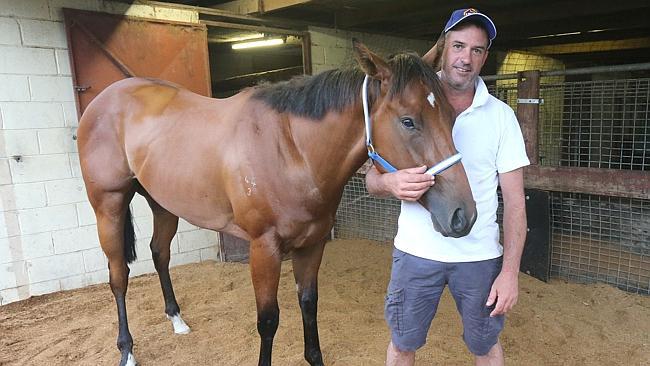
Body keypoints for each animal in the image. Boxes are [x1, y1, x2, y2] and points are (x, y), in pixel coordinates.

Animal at [78, 40, 476, 366]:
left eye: (450, 115)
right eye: (408, 121)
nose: (464, 216)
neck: (291, 150)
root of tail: (104, 100)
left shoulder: (312, 245)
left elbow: (309, 304)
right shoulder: (263, 248)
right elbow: (268, 320)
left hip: (163, 204)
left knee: (160, 254)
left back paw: (176, 320)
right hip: (108, 205)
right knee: (118, 276)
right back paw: (127, 351)